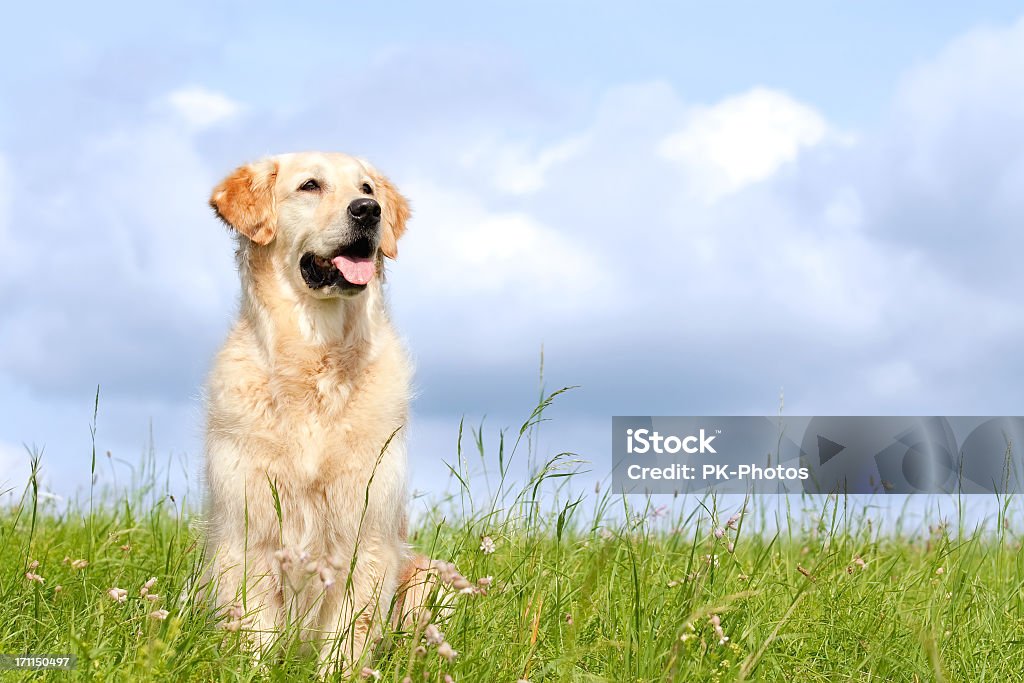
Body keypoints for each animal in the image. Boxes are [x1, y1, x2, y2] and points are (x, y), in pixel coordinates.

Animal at [201, 150, 434, 671]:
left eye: (366, 187)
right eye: (310, 186)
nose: (369, 211)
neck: (317, 359)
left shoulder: (367, 537)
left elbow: (348, 640)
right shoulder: (249, 537)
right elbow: (255, 634)